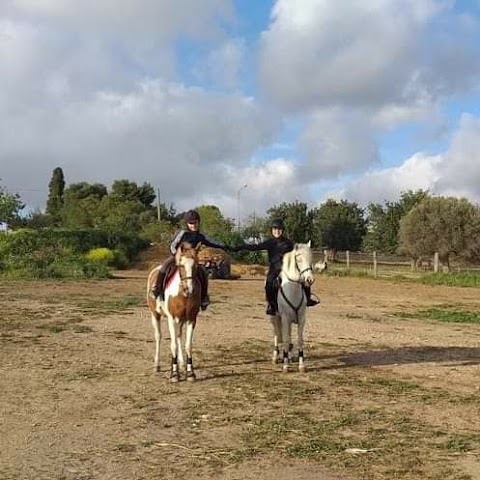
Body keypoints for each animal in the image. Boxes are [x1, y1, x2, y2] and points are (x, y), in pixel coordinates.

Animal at [144, 244, 201, 382]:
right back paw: (157, 365)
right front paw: (174, 374)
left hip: (181, 320)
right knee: (158, 336)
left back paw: (181, 363)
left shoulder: (191, 319)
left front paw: (190, 372)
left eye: (196, 266)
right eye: (181, 265)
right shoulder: (172, 319)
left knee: (179, 336)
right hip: (155, 315)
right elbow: (173, 344)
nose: (189, 289)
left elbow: (188, 345)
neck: (182, 295)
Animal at [270, 242, 316, 374]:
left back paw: (289, 357)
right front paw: (285, 367)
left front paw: (301, 365)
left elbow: (299, 340)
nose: (310, 280)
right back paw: (276, 357)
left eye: (311, 258)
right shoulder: (285, 318)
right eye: (299, 260)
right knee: (276, 334)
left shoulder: (301, 318)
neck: (292, 287)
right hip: (274, 317)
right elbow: (285, 340)